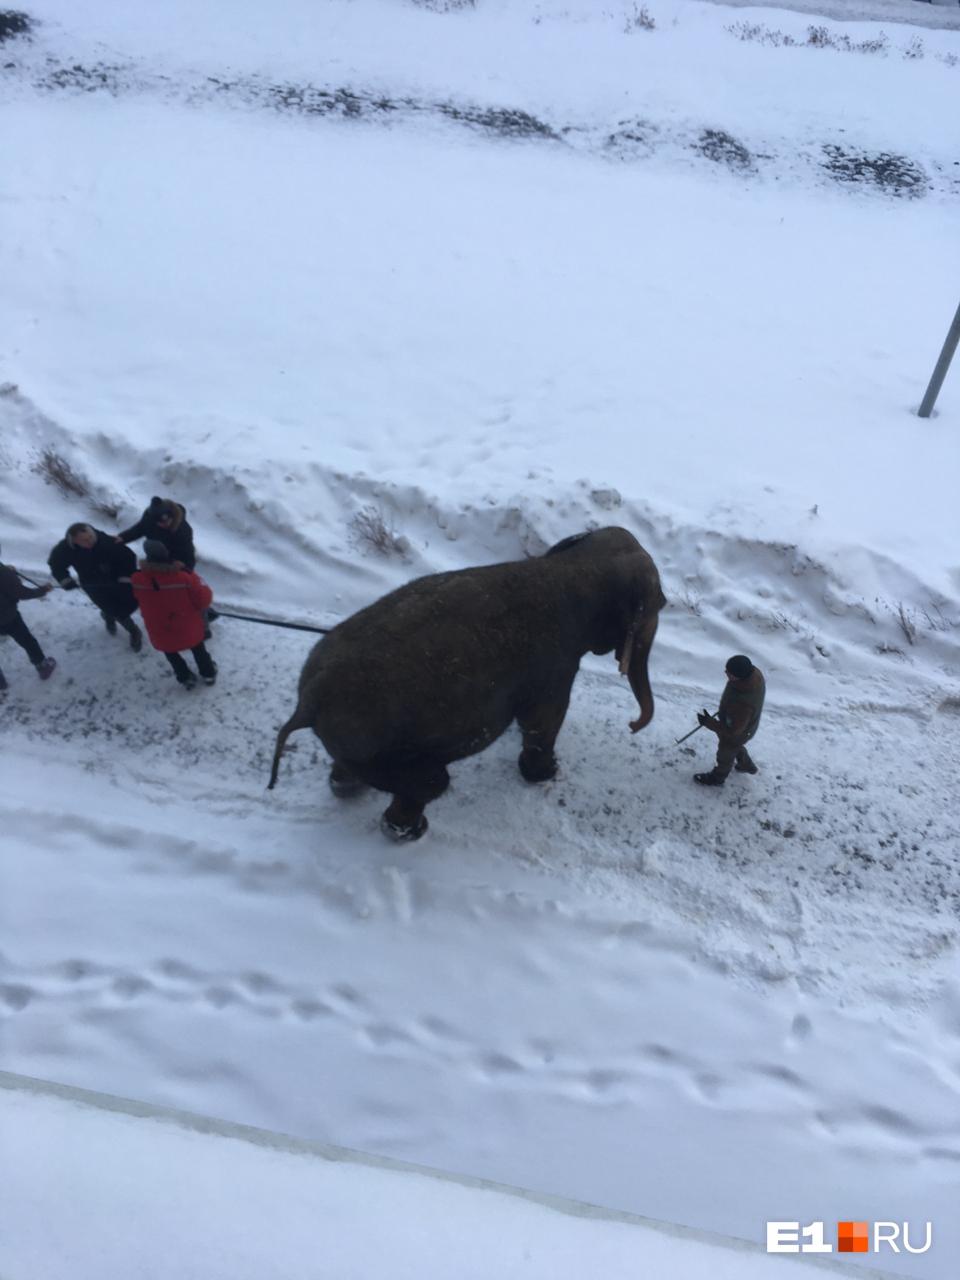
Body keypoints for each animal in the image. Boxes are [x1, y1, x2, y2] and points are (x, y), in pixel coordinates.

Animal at [267, 527, 665, 839]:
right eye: (662, 604)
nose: (632, 725)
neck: (571, 567)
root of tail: (308, 703)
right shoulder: (555, 666)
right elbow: (543, 720)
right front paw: (547, 774)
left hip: (357, 747)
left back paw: (347, 789)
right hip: (387, 751)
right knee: (430, 783)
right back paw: (408, 832)